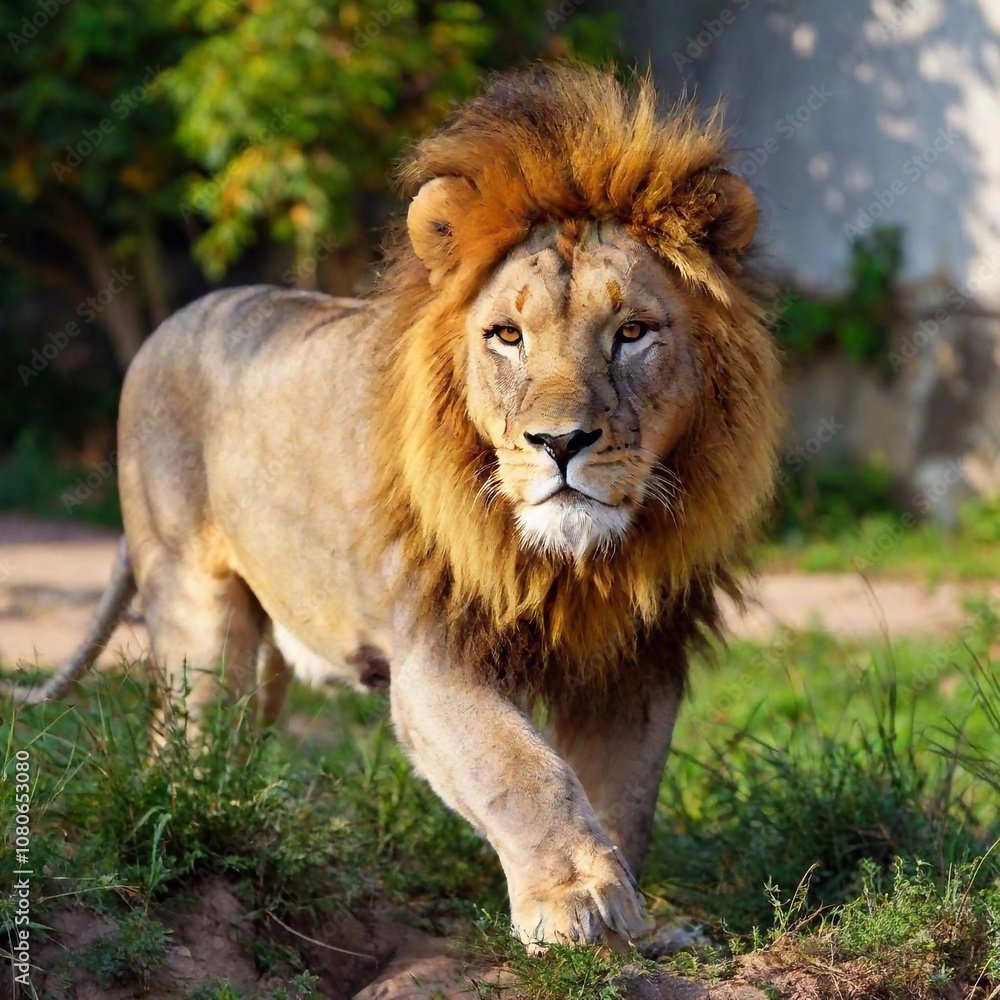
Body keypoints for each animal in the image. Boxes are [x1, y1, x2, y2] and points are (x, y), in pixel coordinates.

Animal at [10, 66, 782, 948]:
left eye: (633, 333)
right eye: (507, 335)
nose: (560, 442)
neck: (577, 565)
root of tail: (173, 321)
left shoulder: (636, 659)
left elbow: (622, 793)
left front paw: (635, 924)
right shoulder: (433, 653)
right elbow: (519, 768)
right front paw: (574, 896)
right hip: (193, 603)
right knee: (184, 736)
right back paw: (192, 825)